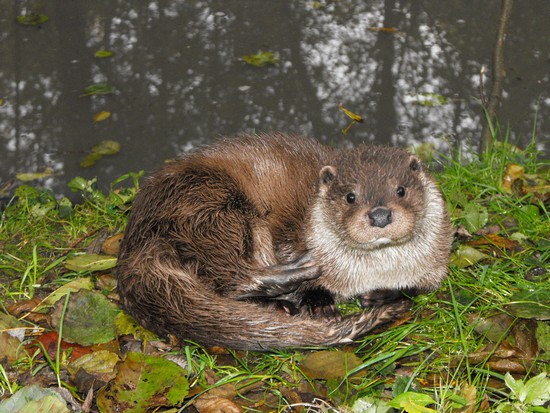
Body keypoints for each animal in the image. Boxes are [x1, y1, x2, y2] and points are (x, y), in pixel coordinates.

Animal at [116, 132, 452, 348]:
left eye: (400, 190)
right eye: (350, 196)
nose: (380, 215)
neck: (374, 272)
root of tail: (136, 239)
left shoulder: (435, 265)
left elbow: (420, 288)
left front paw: (384, 295)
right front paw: (319, 303)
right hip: (209, 203)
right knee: (231, 274)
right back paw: (293, 279)